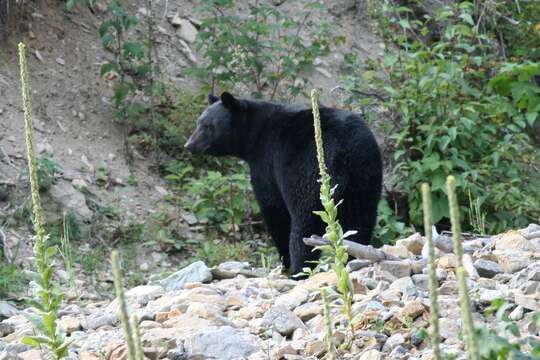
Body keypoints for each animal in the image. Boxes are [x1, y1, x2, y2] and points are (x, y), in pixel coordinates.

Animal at [186, 93, 384, 276]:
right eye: (198, 122)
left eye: (207, 126)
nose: (189, 145)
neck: (254, 134)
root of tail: (345, 148)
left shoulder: (266, 162)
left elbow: (273, 208)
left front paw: (284, 261)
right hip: (365, 174)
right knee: (361, 218)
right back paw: (354, 257)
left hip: (309, 172)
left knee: (305, 222)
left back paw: (299, 269)